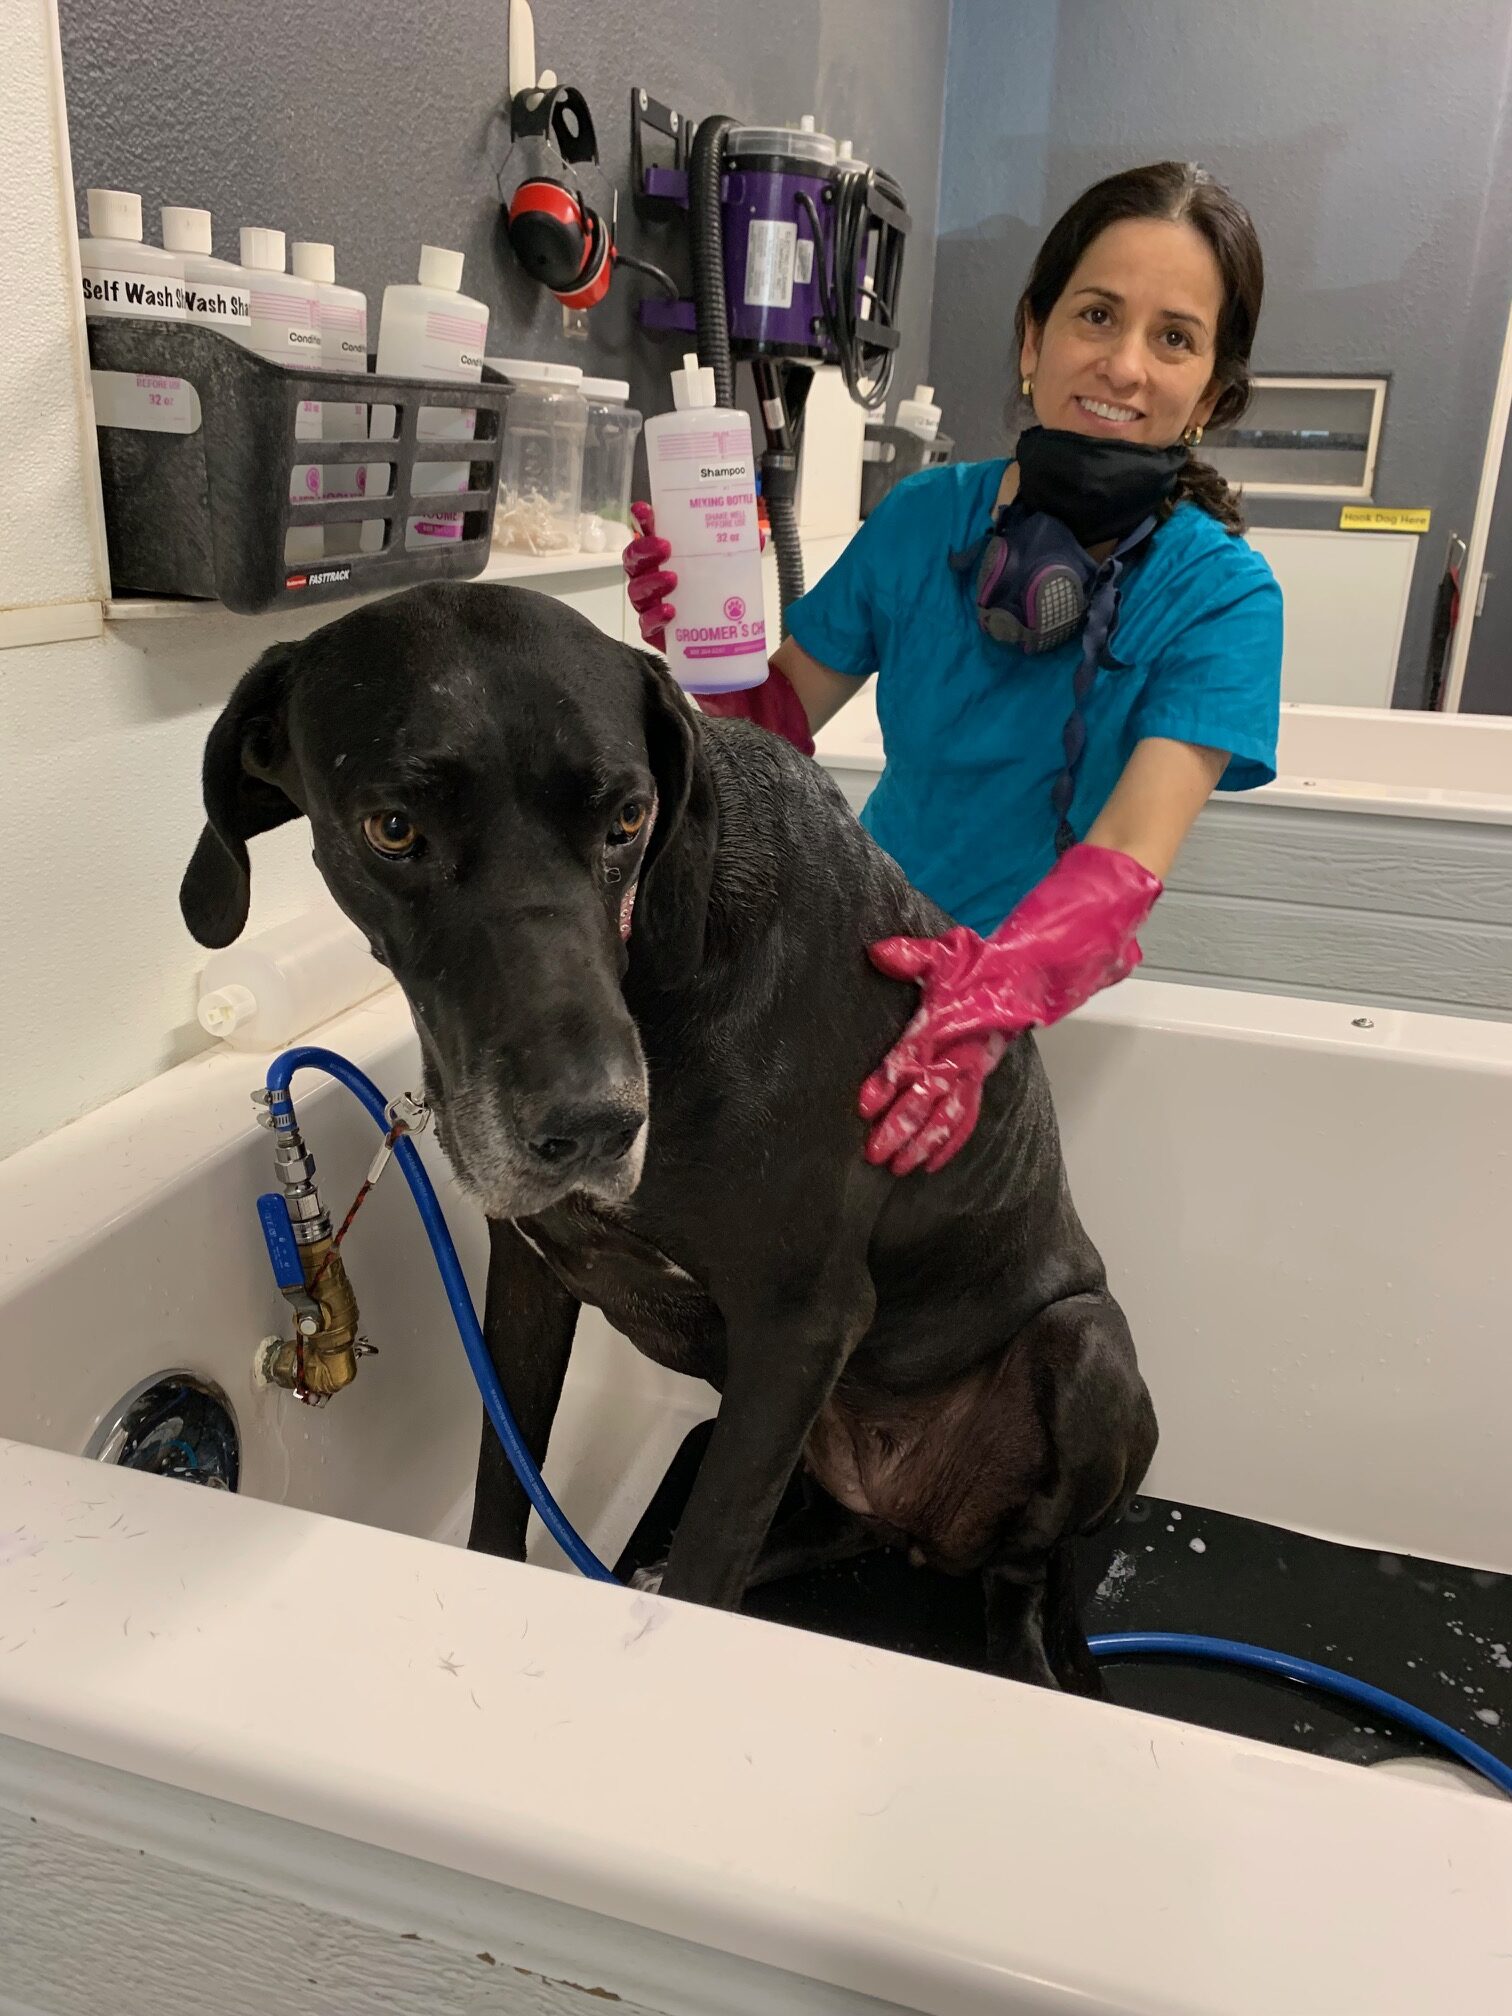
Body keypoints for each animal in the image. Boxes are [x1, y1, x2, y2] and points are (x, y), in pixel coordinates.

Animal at [186, 584, 1161, 1685]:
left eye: (628, 816)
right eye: (392, 829)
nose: (593, 1124)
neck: (655, 964)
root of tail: (921, 1522)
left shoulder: (801, 1319)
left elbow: (711, 1558)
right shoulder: (529, 1274)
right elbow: (502, 1477)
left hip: (1083, 1346)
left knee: (1019, 1567)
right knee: (843, 1525)